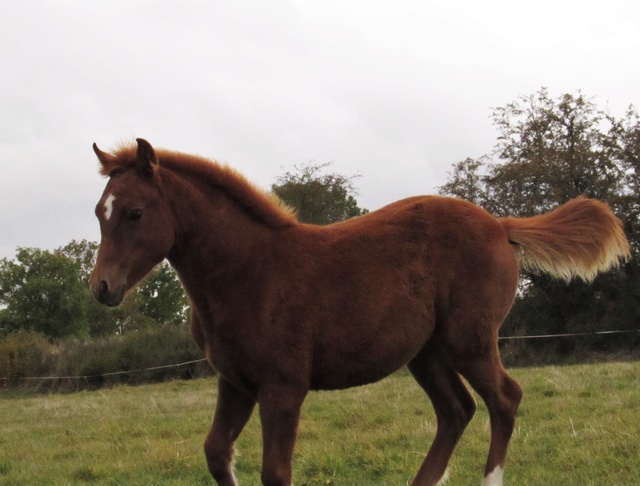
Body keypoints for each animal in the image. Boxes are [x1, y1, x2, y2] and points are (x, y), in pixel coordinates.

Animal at [89, 138, 632, 486]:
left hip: (470, 340)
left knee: (504, 399)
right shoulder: (236, 382)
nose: (102, 288)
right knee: (456, 410)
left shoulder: (283, 387)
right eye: (99, 212)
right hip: (426, 352)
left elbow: (274, 472)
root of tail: (500, 226)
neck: (247, 271)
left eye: (135, 213)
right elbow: (217, 456)